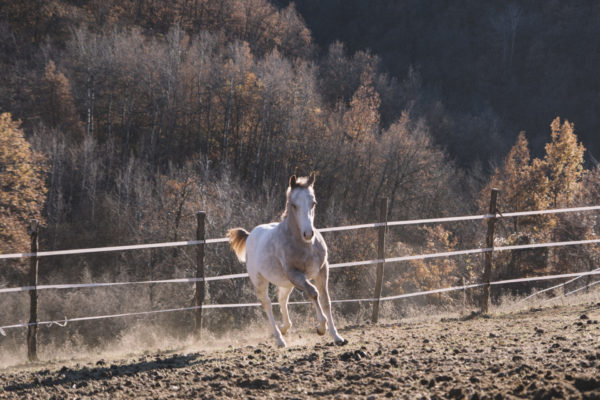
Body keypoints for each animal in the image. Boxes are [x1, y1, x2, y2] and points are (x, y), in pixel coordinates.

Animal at [226, 173, 346, 346]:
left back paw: (284, 328)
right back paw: (279, 339)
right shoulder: (296, 274)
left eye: (313, 203)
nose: (308, 234)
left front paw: (337, 337)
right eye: (294, 205)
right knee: (267, 304)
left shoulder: (322, 270)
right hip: (260, 281)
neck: (305, 246)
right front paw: (321, 327)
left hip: (286, 283)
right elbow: (313, 293)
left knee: (282, 299)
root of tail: (250, 235)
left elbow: (325, 300)